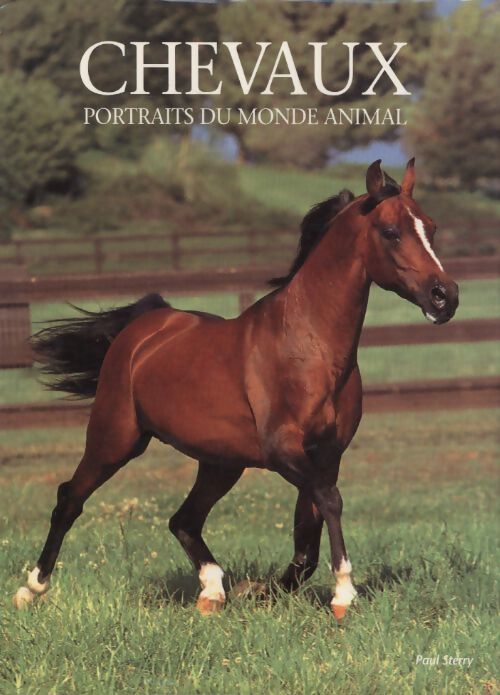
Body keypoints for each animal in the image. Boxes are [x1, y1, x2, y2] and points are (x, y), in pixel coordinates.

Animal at [13, 159, 458, 619]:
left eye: (431, 227)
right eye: (390, 231)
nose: (445, 297)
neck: (310, 347)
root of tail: (145, 328)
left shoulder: (327, 454)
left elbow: (308, 536)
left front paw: (266, 591)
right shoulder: (283, 450)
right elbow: (330, 503)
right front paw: (342, 594)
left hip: (220, 463)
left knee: (183, 520)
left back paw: (213, 591)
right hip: (115, 439)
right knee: (70, 498)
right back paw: (31, 588)